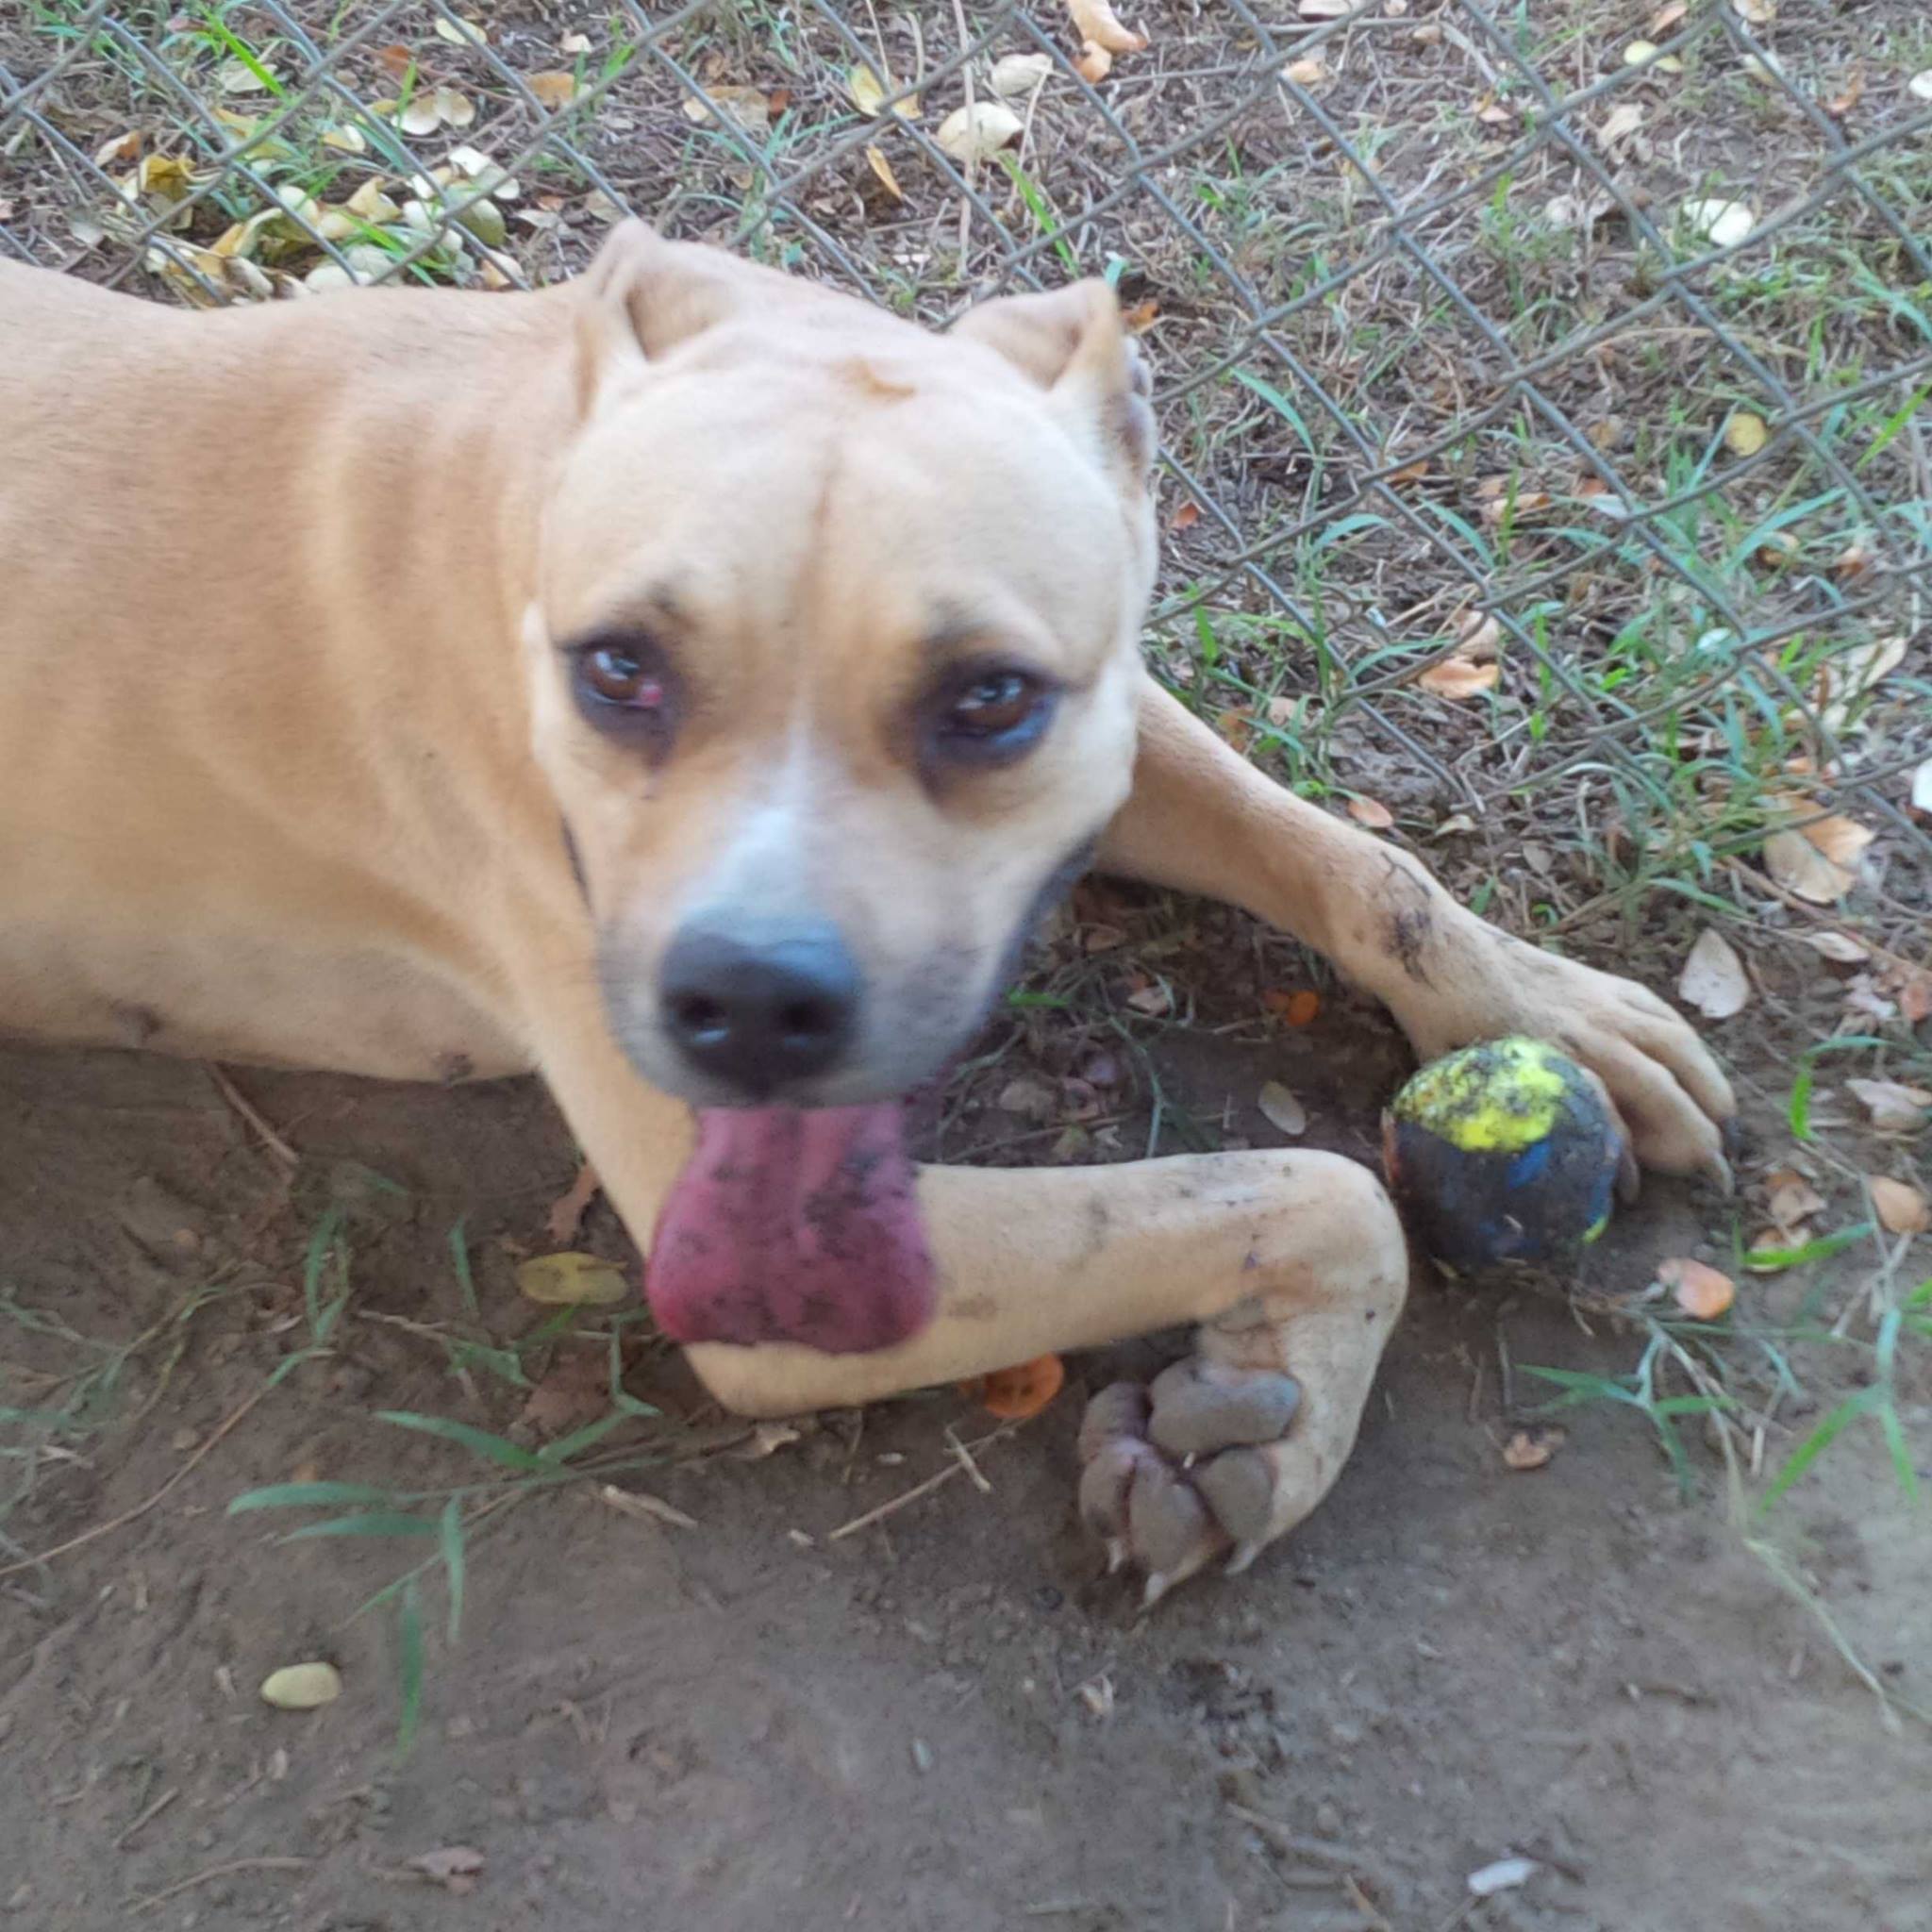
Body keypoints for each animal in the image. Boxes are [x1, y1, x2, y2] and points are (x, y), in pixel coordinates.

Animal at [0, 219, 1739, 1591]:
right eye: (617, 668)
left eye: (988, 698)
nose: (752, 1000)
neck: (529, 469)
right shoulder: (774, 1269)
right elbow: (1321, 1187)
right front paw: (1274, 1410)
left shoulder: (1113, 719)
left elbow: (1346, 854)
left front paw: (1539, 1005)